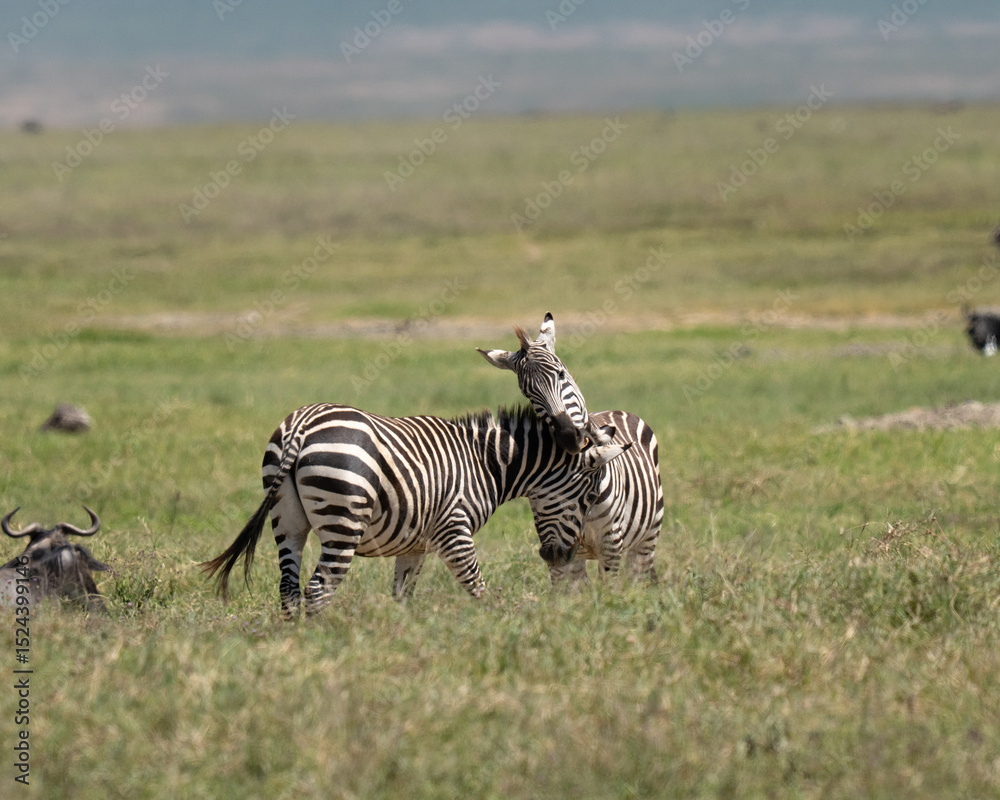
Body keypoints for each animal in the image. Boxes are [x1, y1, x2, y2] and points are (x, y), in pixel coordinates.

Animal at [200, 403, 630, 618]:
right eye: (589, 498)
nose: (560, 557)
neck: (487, 464)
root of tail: (302, 424)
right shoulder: (454, 529)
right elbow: (476, 585)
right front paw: (498, 626)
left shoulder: (416, 543)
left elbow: (402, 594)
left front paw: (404, 640)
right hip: (343, 522)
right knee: (319, 588)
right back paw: (322, 648)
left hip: (287, 521)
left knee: (289, 589)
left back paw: (294, 646)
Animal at [479, 317, 664, 582]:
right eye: (527, 392)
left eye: (561, 374)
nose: (568, 436)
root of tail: (617, 410)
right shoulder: (557, 543)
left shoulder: (611, 543)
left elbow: (610, 589)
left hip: (647, 538)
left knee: (638, 576)